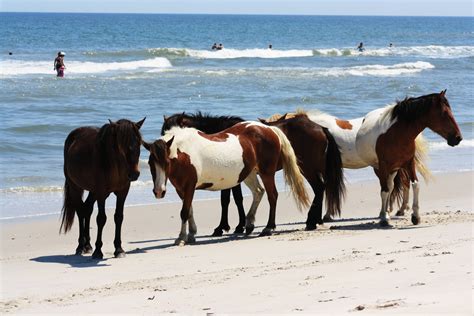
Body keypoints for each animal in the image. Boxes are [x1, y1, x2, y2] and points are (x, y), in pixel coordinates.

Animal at [61, 118, 146, 260]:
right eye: (121, 144)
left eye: (139, 143)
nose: (134, 174)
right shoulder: (101, 193)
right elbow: (101, 219)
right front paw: (98, 251)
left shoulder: (122, 192)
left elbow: (119, 217)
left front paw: (119, 249)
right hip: (75, 187)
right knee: (80, 211)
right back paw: (80, 246)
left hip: (92, 191)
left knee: (87, 209)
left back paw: (88, 246)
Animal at [143, 121, 310, 244]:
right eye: (150, 163)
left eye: (166, 163)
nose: (159, 192)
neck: (184, 152)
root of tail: (269, 129)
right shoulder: (181, 189)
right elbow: (189, 211)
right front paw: (191, 234)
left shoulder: (189, 186)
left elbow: (184, 212)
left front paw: (181, 238)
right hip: (248, 174)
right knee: (258, 192)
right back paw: (249, 224)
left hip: (266, 173)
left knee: (272, 196)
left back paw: (268, 228)